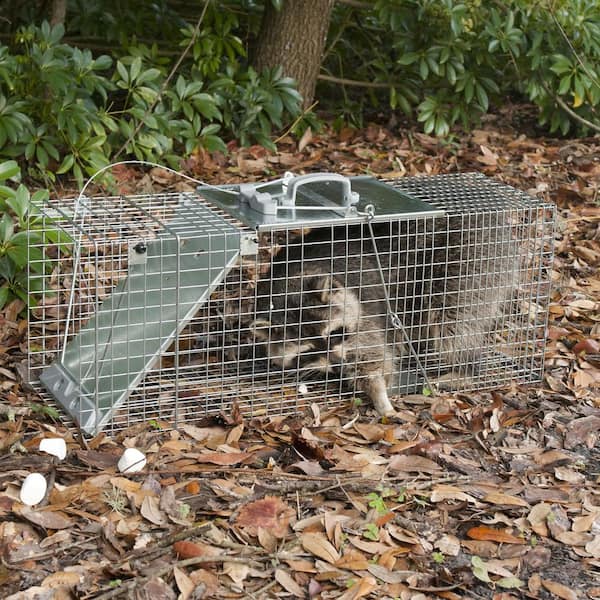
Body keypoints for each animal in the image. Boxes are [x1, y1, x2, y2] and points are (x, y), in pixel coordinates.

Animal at [246, 216, 516, 418]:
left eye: (335, 333)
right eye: (308, 351)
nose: (338, 364)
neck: (288, 283)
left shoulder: (364, 310)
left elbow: (371, 357)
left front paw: (378, 391)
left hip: (465, 263)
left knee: (452, 323)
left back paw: (465, 368)